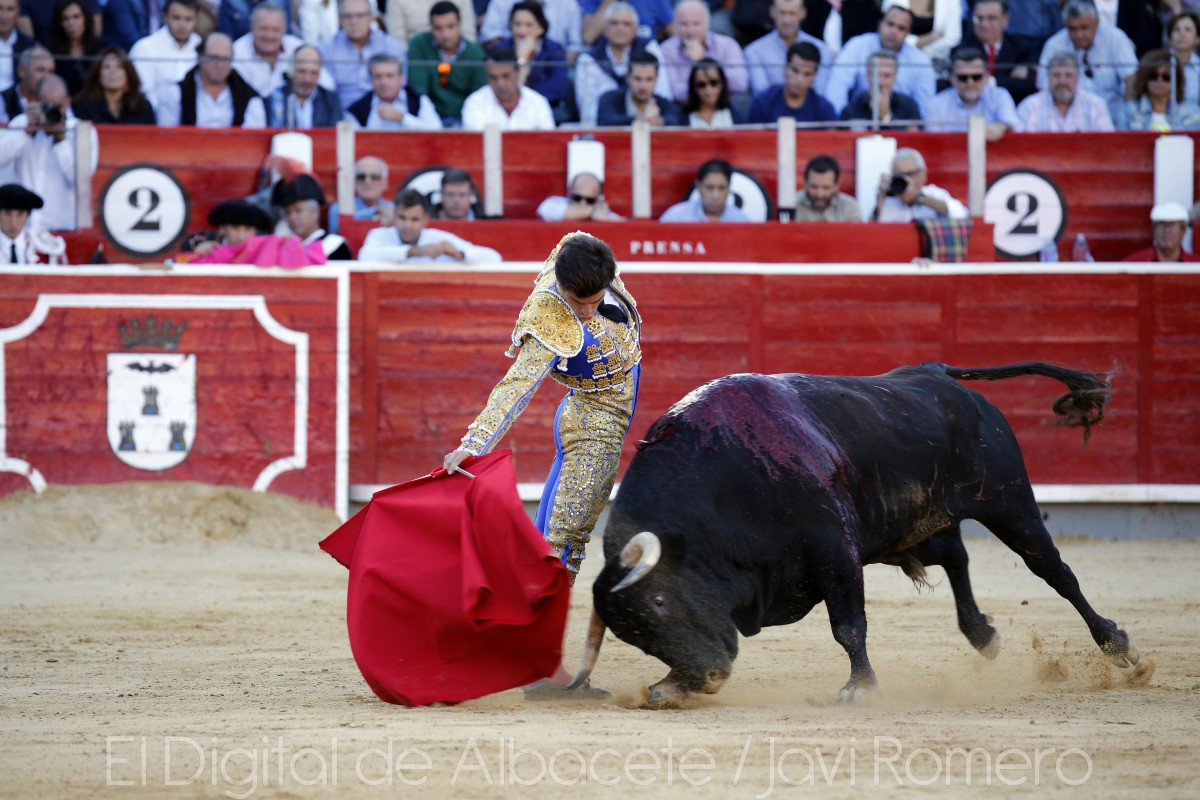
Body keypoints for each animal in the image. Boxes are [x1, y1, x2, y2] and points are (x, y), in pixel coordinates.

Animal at [566, 362, 1137, 705]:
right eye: (634, 636)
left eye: (661, 603)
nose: (705, 678)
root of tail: (939, 374)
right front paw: (666, 687)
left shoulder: (834, 550)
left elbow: (848, 626)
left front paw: (860, 690)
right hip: (905, 527)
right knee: (955, 556)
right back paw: (984, 635)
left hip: (1008, 502)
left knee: (1055, 571)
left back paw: (1118, 646)